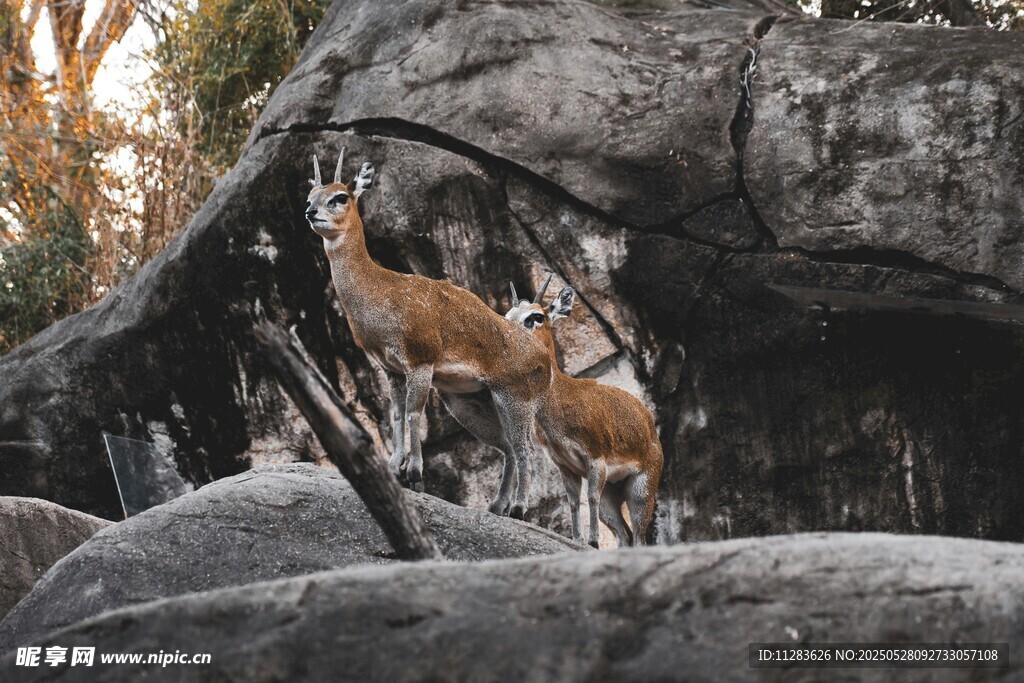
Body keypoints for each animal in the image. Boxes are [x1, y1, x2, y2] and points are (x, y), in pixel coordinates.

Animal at [304, 149, 552, 520]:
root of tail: (547, 362)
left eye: (340, 196)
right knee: (508, 446)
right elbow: (394, 416)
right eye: (309, 196)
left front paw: (415, 474)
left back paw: (519, 508)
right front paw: (394, 468)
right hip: (470, 400)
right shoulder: (390, 368)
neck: (380, 292)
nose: (310, 212)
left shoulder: (420, 360)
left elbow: (413, 414)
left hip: (516, 399)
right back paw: (497, 505)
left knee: (526, 448)